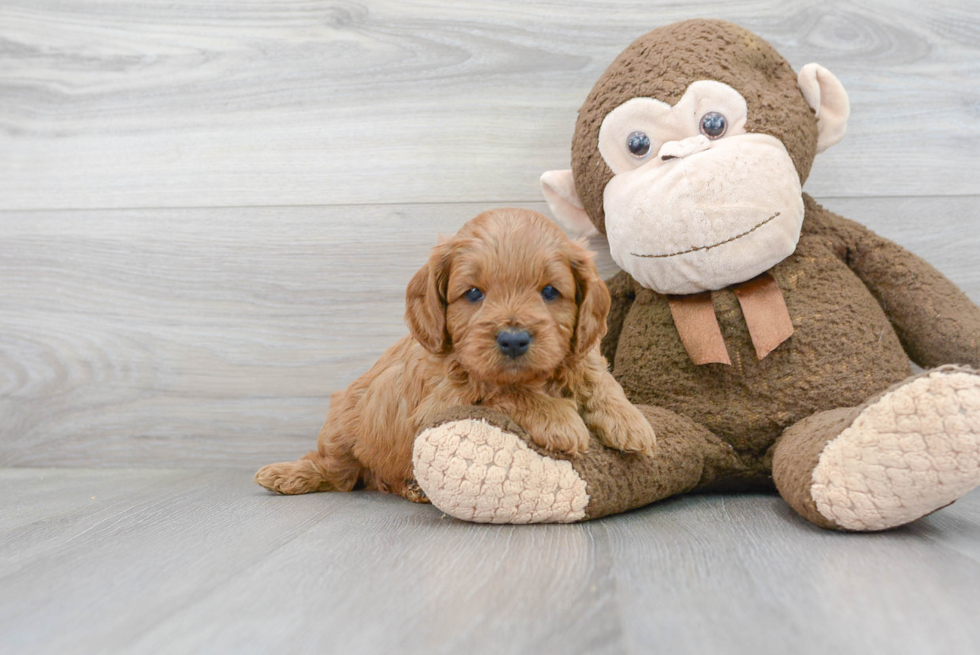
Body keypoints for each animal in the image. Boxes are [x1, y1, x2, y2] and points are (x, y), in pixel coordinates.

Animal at [256, 210, 660, 502]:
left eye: (549, 291)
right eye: (473, 294)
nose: (514, 340)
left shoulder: (577, 353)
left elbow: (597, 375)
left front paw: (630, 421)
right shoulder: (440, 404)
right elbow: (501, 390)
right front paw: (559, 419)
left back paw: (412, 488)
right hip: (343, 427)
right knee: (333, 469)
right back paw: (286, 475)